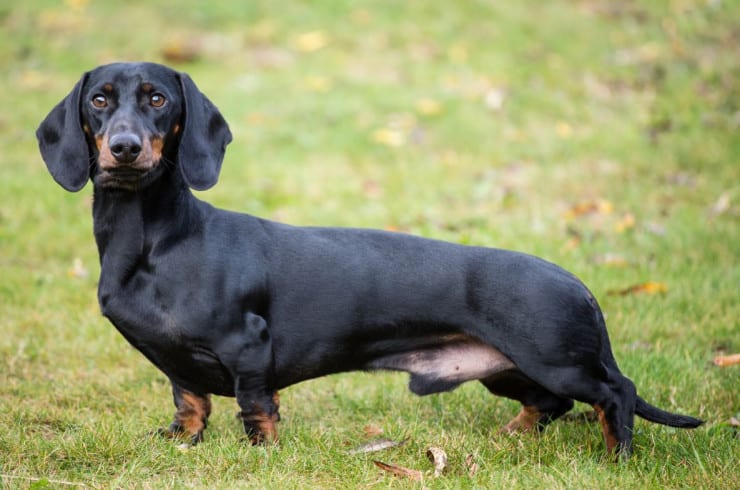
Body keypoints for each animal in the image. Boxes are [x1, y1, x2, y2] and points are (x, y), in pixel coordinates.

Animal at [37, 62, 704, 460]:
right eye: (99, 100)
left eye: (157, 100)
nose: (125, 149)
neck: (155, 241)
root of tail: (579, 284)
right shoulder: (174, 360)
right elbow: (190, 399)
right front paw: (182, 439)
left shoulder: (247, 346)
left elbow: (256, 406)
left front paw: (261, 453)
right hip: (507, 369)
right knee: (550, 404)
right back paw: (513, 437)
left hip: (556, 359)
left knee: (615, 392)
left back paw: (617, 453)